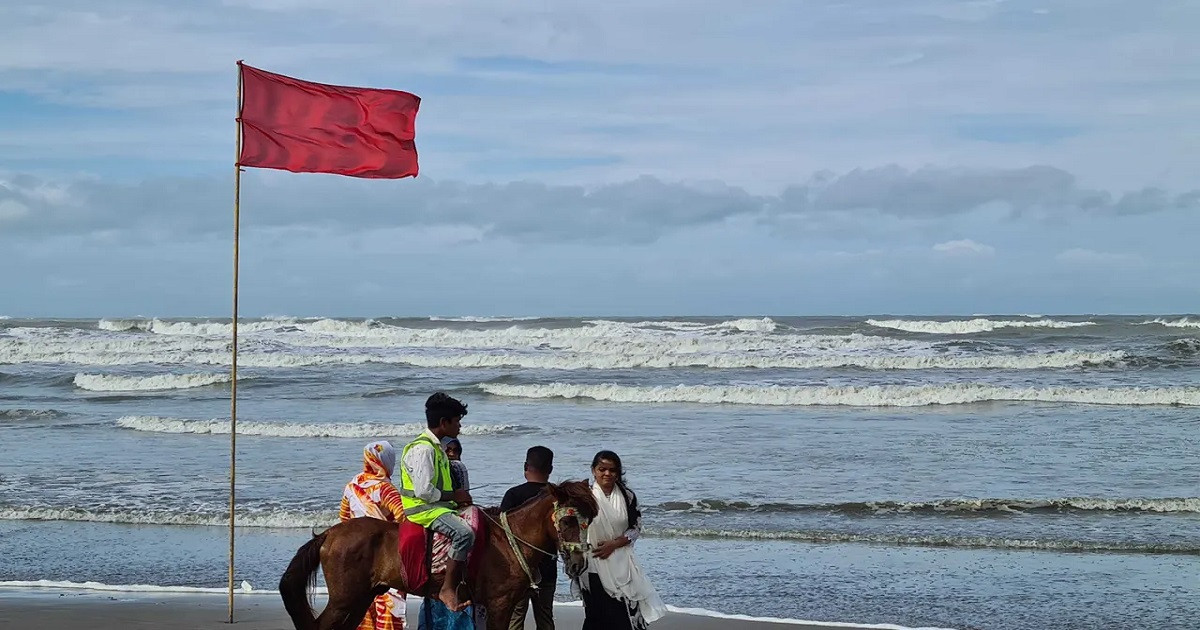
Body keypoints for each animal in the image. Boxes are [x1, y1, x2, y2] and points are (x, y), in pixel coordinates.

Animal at [280, 480, 600, 624]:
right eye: (568, 521)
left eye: (590, 520)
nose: (577, 564)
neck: (510, 541)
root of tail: (330, 533)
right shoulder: (499, 605)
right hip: (344, 601)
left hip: (361, 598)